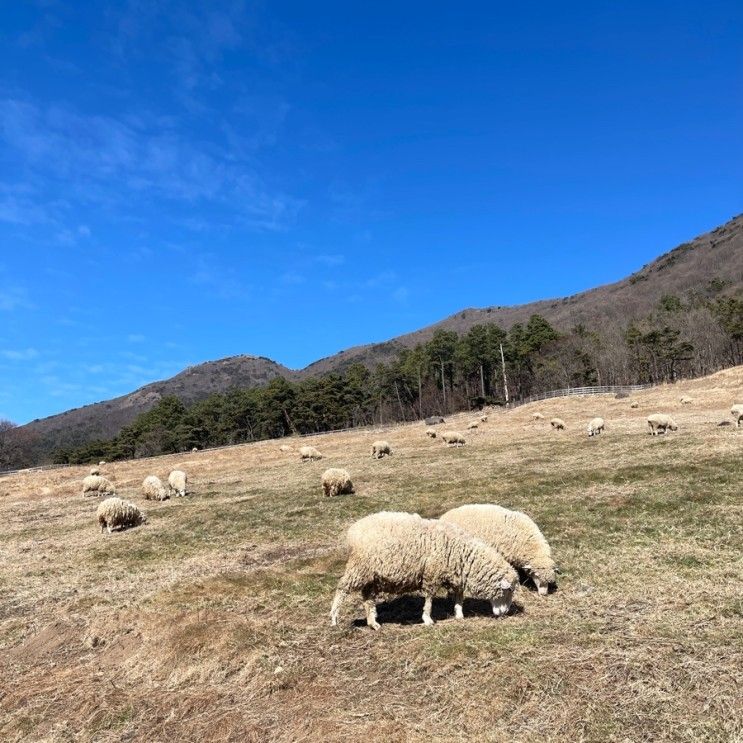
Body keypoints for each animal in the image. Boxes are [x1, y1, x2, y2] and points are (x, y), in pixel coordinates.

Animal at [332, 512, 516, 628]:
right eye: (508, 591)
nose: (505, 613)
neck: (460, 552)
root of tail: (353, 530)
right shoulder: (432, 574)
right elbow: (429, 598)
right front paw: (427, 619)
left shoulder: (454, 575)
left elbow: (459, 596)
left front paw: (459, 614)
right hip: (359, 568)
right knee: (342, 589)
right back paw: (334, 618)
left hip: (372, 577)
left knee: (368, 598)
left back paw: (373, 623)